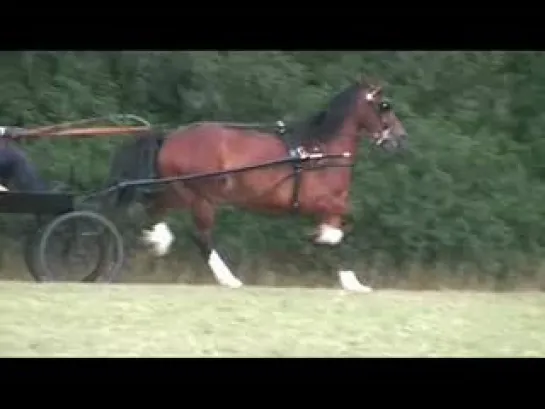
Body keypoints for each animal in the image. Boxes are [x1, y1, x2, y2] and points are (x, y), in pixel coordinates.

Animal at [108, 79, 408, 290]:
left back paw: (158, 240)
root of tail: (170, 136)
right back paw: (228, 278)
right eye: (385, 105)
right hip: (201, 196)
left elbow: (338, 232)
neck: (320, 151)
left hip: (179, 190)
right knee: (201, 236)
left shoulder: (327, 207)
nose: (401, 138)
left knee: (153, 209)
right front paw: (349, 277)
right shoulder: (323, 203)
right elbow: (339, 233)